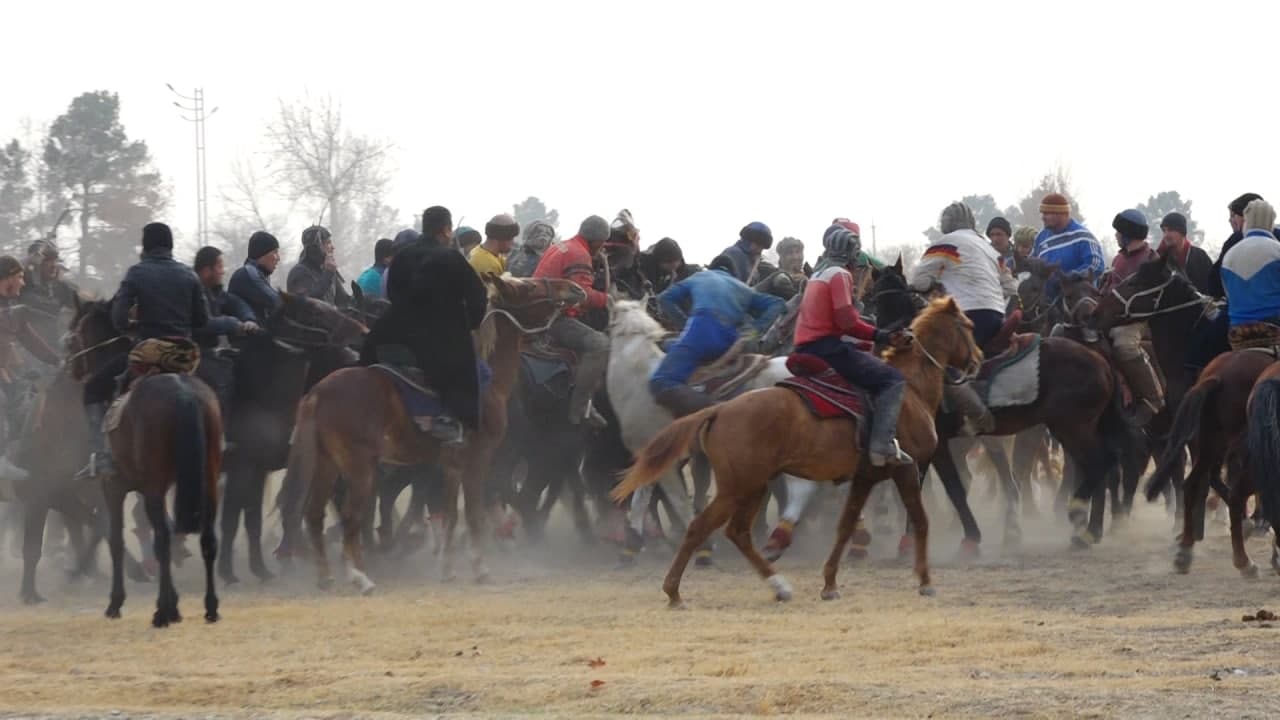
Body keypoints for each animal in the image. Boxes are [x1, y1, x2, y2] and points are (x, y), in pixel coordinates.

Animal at [69, 299, 222, 625]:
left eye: (75, 333)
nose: (73, 367)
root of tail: (183, 393)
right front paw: (174, 599)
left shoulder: (114, 487)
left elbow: (115, 539)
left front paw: (116, 602)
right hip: (207, 480)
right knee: (207, 538)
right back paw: (210, 606)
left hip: (152, 485)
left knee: (162, 538)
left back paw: (162, 612)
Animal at [281, 272, 586, 589]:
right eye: (531, 286)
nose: (575, 288)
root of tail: (318, 393)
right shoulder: (479, 457)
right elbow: (473, 512)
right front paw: (480, 568)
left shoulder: (449, 465)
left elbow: (449, 515)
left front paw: (448, 569)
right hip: (359, 468)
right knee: (351, 516)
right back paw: (360, 577)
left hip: (326, 464)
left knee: (314, 515)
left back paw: (327, 576)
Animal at [604, 297, 814, 556]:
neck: (637, 378)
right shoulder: (650, 456)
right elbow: (641, 499)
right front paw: (632, 546)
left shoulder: (665, 461)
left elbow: (678, 501)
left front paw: (702, 548)